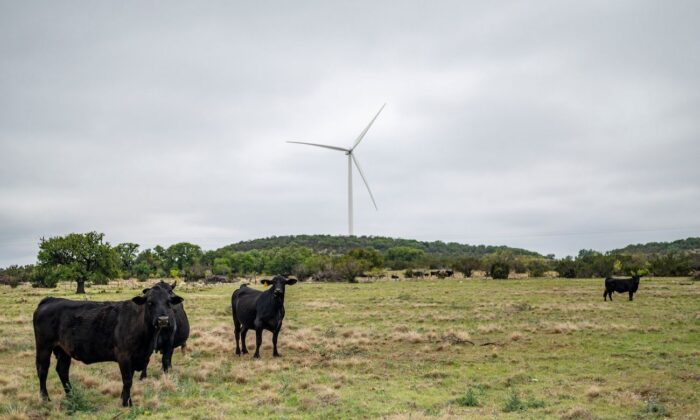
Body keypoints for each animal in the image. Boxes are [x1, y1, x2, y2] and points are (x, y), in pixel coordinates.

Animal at [32, 288, 183, 406]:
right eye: (150, 302)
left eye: (168, 302)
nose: (163, 320)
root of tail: (50, 299)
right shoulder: (124, 356)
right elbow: (127, 380)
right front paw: (127, 403)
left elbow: (129, 380)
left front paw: (124, 398)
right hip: (44, 347)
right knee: (42, 370)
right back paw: (45, 398)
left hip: (64, 350)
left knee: (62, 370)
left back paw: (71, 395)